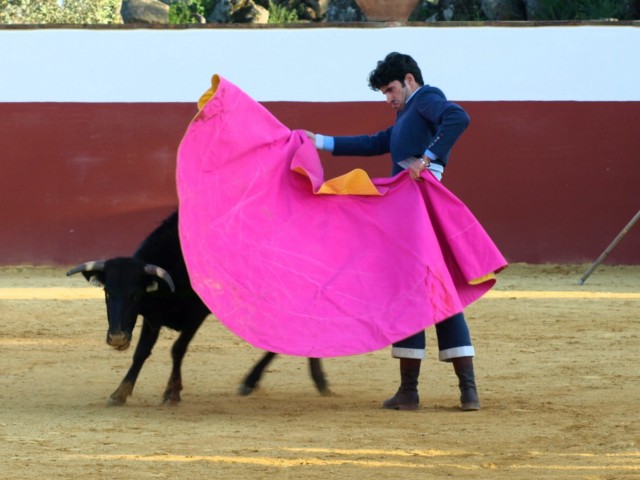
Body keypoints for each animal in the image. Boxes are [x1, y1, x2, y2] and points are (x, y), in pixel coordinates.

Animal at [69, 212, 330, 404]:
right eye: (107, 293)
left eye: (136, 294)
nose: (117, 338)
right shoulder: (154, 317)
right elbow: (141, 352)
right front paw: (120, 393)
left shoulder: (197, 314)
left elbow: (177, 349)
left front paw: (172, 392)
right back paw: (318, 380)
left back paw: (251, 381)